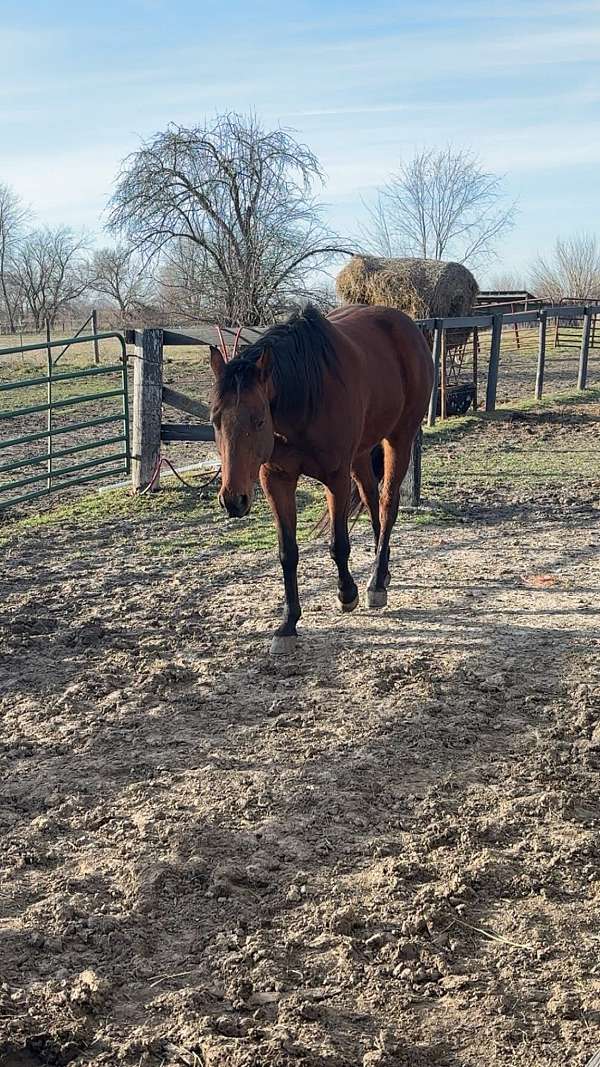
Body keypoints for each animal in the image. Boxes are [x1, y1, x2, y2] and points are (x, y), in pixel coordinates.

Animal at [209, 304, 434, 655]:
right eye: (216, 420)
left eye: (258, 420)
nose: (233, 500)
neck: (303, 398)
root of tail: (407, 325)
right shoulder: (276, 480)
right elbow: (287, 552)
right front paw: (288, 624)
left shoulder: (335, 478)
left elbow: (338, 544)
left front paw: (347, 594)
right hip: (361, 454)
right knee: (372, 502)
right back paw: (381, 573)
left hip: (399, 438)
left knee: (387, 505)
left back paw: (375, 583)